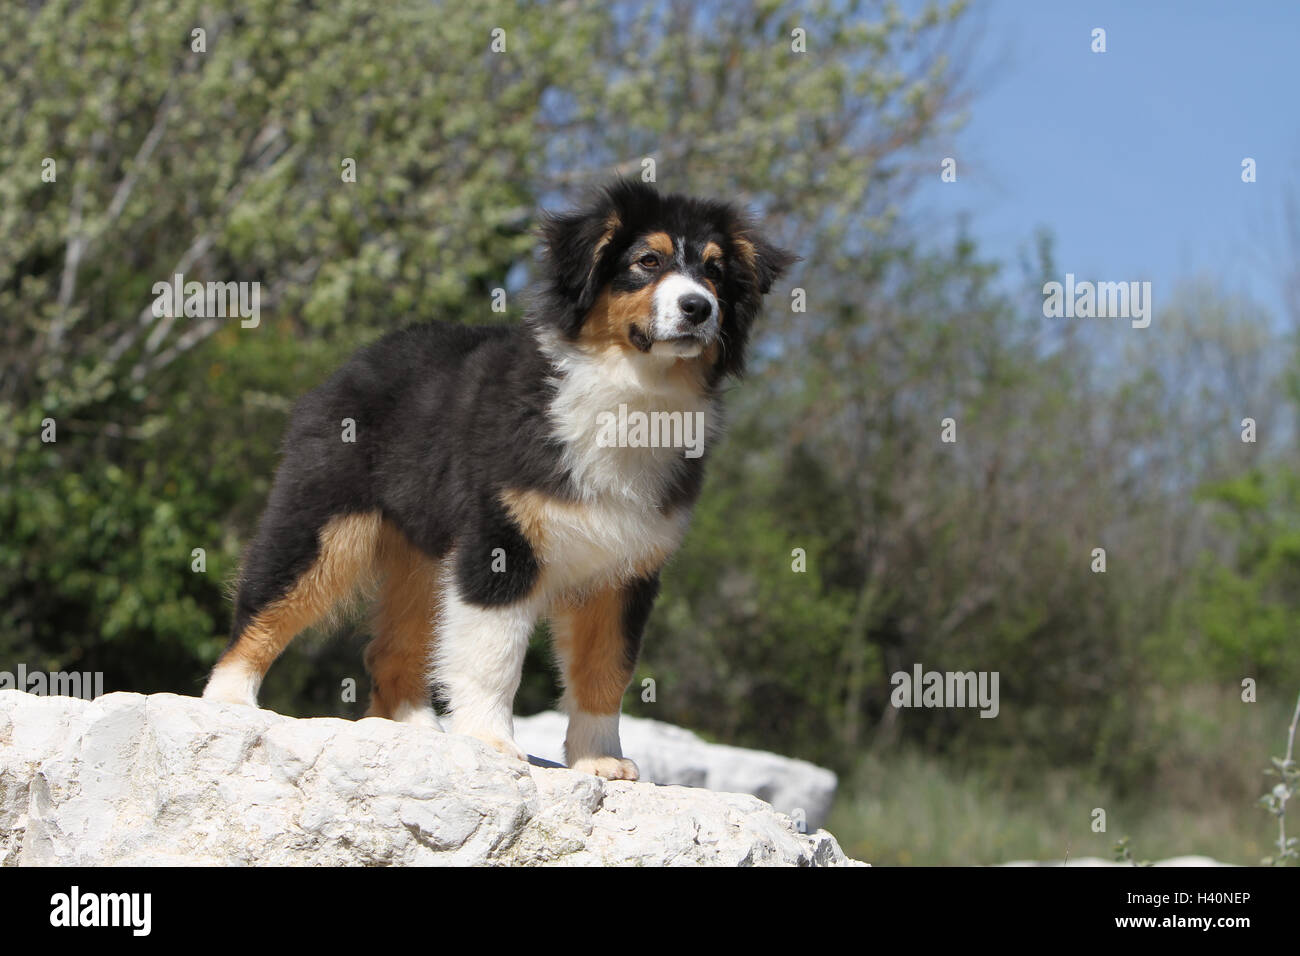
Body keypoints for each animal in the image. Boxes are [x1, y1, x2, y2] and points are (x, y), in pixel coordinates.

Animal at [201, 179, 790, 780]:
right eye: (647, 260)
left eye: (715, 272)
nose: (698, 307)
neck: (632, 392)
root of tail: (358, 360)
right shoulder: (501, 536)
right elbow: (494, 653)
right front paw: (489, 742)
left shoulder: (625, 567)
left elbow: (605, 669)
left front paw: (600, 760)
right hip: (324, 515)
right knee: (268, 600)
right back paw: (229, 701)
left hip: (423, 549)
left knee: (392, 647)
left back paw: (416, 730)